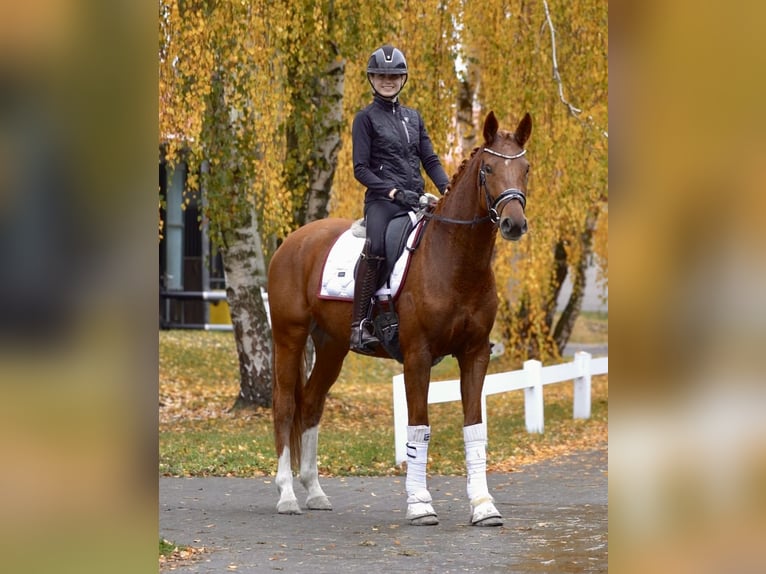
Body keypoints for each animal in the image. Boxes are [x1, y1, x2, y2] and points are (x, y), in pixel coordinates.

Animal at [268, 110, 532, 528]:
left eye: (526, 168)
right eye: (488, 169)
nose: (514, 224)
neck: (454, 260)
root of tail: (293, 241)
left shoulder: (475, 354)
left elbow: (474, 429)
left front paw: (483, 506)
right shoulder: (417, 357)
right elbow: (419, 429)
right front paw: (420, 505)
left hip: (332, 346)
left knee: (310, 403)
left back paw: (314, 491)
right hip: (289, 336)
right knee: (284, 405)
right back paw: (288, 496)